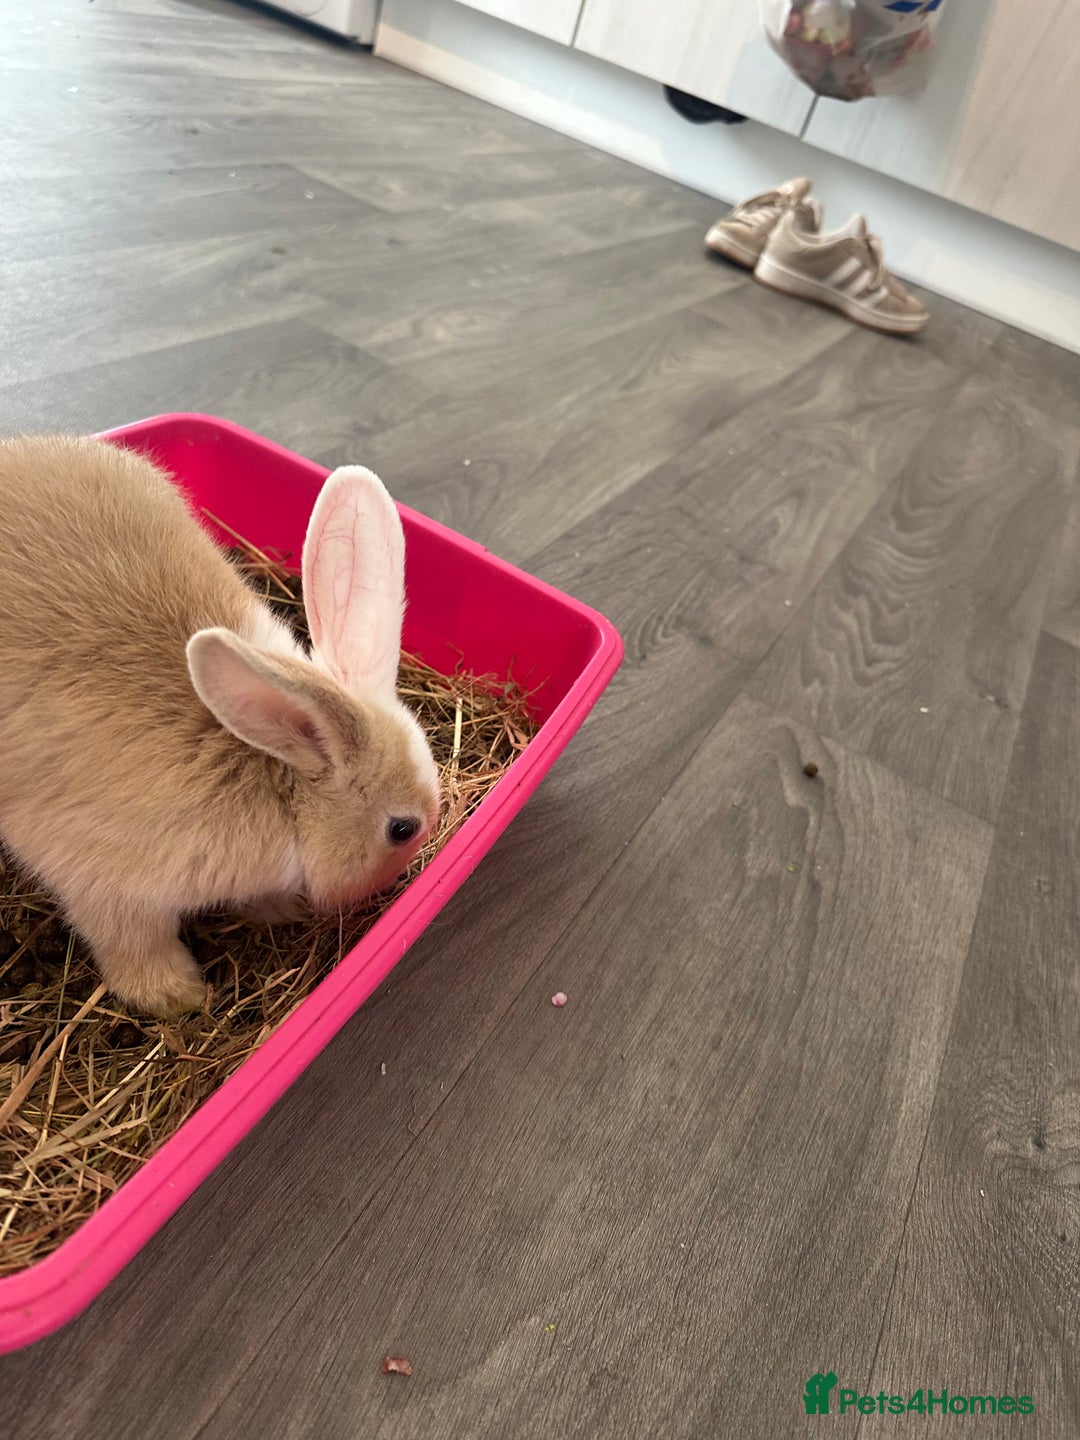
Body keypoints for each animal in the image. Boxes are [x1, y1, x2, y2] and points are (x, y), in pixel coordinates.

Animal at [0, 435, 440, 1016]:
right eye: (401, 829)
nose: (397, 883)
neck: (281, 781)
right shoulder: (107, 886)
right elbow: (135, 946)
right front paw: (179, 997)